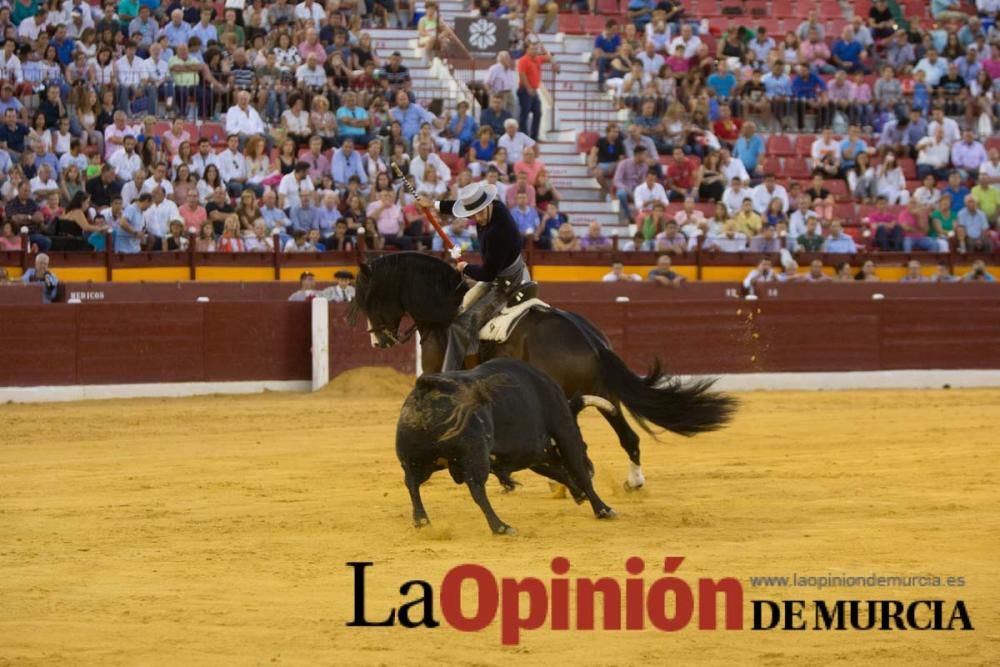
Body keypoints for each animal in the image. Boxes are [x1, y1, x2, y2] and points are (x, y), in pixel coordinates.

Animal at [350, 253, 736, 488]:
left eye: (369, 298)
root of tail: (589, 339)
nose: (378, 340)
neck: (444, 310)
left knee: (577, 439)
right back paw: (629, 481)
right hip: (601, 392)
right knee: (627, 436)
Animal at [392, 358, 612, 536]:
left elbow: (558, 472)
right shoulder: (564, 433)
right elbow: (578, 473)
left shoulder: (532, 453)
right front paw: (603, 509)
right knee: (476, 489)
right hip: (474, 457)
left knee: (412, 484)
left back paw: (422, 521)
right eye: (585, 445)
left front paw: (579, 495)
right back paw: (501, 526)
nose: (592, 468)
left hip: (417, 460)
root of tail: (426, 389)